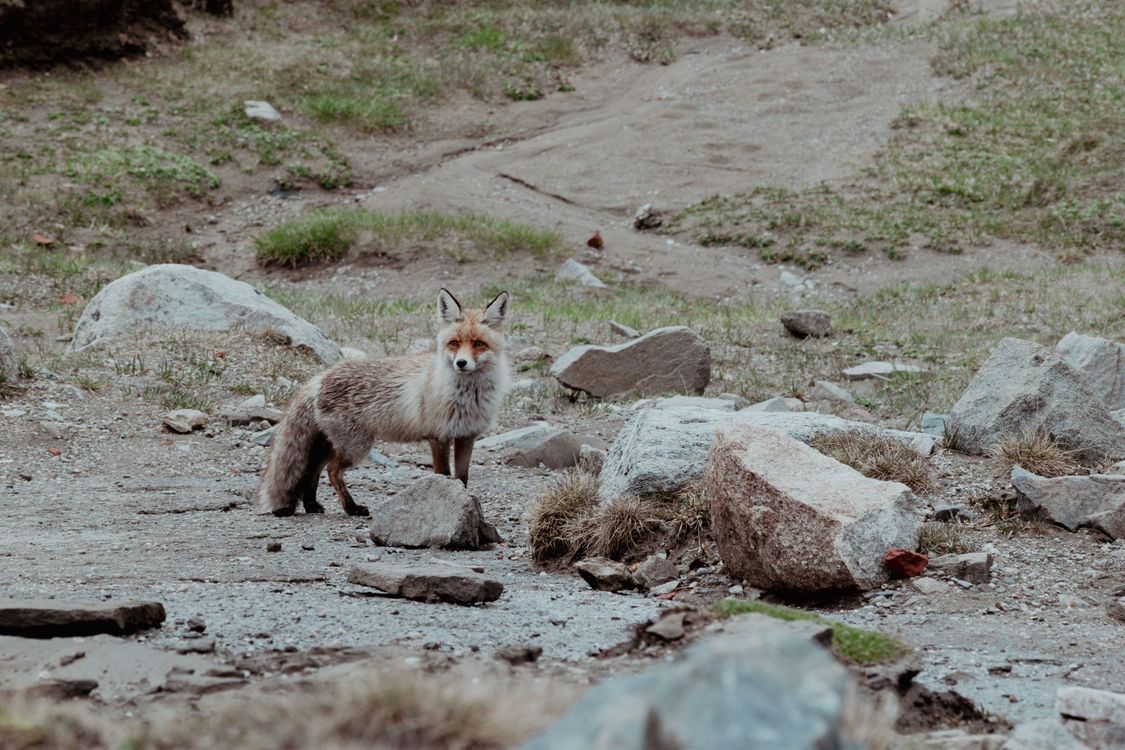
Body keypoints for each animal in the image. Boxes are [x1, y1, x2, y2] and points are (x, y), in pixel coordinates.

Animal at [257, 288, 511, 517]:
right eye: (454, 343)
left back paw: (312, 505)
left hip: (332, 445)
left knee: (313, 469)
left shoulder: (467, 436)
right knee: (332, 471)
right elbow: (444, 475)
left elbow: (462, 477)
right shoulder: (438, 437)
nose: (461, 363)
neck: (467, 397)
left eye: (478, 344)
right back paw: (351, 508)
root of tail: (321, 376)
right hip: (356, 447)